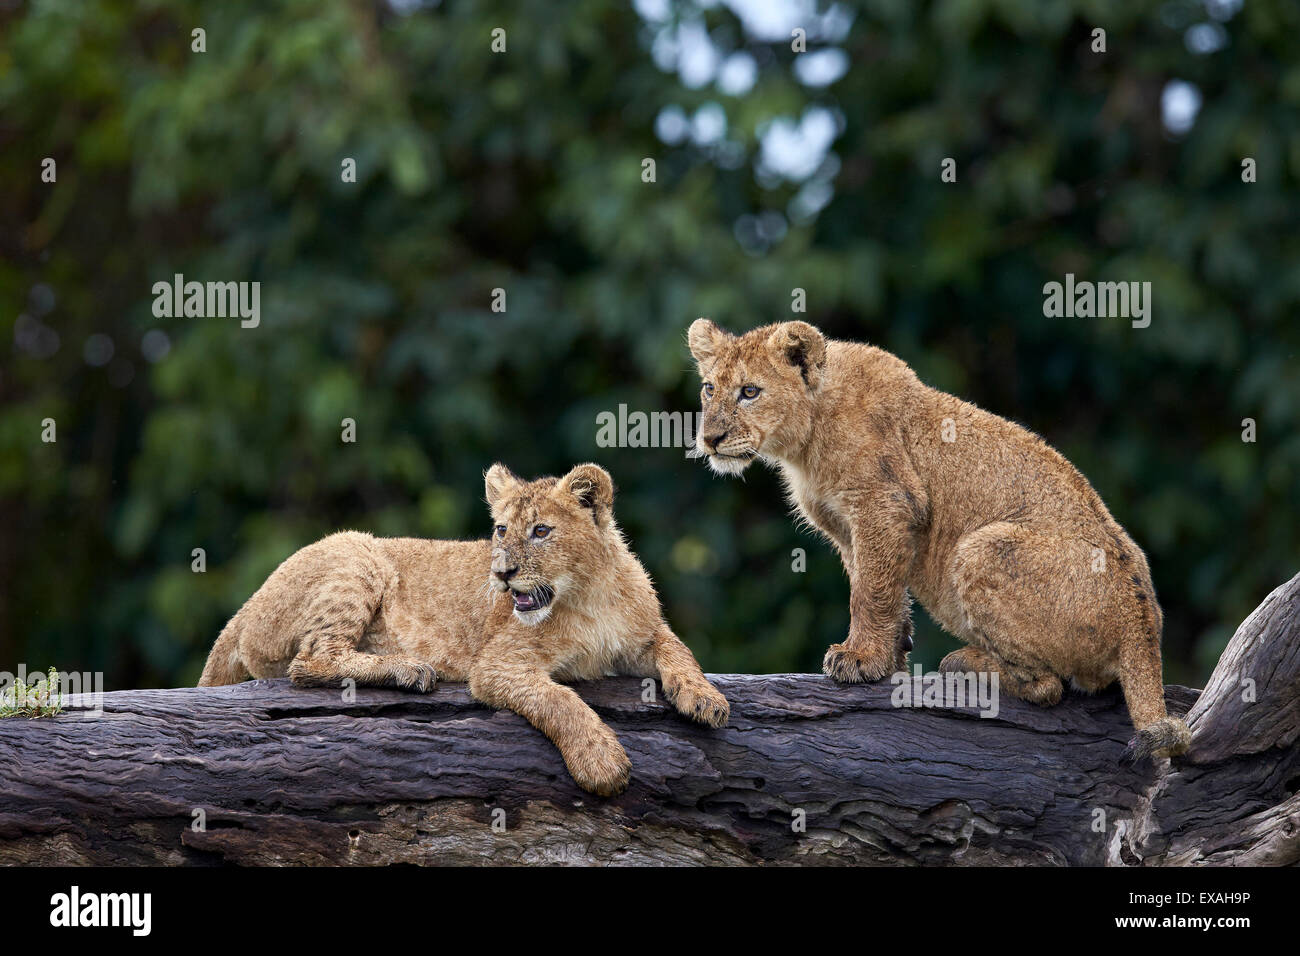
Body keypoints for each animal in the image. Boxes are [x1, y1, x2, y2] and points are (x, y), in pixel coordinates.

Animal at [199, 462, 730, 795]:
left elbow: (678, 650)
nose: (502, 573)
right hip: (357, 553)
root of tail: (247, 607)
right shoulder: (498, 664)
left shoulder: (642, 634)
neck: (587, 593)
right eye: (500, 530)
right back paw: (408, 669)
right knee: (310, 660)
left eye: (541, 531)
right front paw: (600, 761)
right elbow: (560, 701)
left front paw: (706, 699)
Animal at [687, 318, 1190, 761]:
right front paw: (891, 654)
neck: (805, 438)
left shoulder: (886, 503)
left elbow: (870, 592)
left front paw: (860, 659)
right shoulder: (850, 526)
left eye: (750, 392)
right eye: (709, 388)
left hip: (981, 547)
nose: (710, 439)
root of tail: (1143, 625)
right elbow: (879, 588)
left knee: (1048, 686)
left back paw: (964, 664)